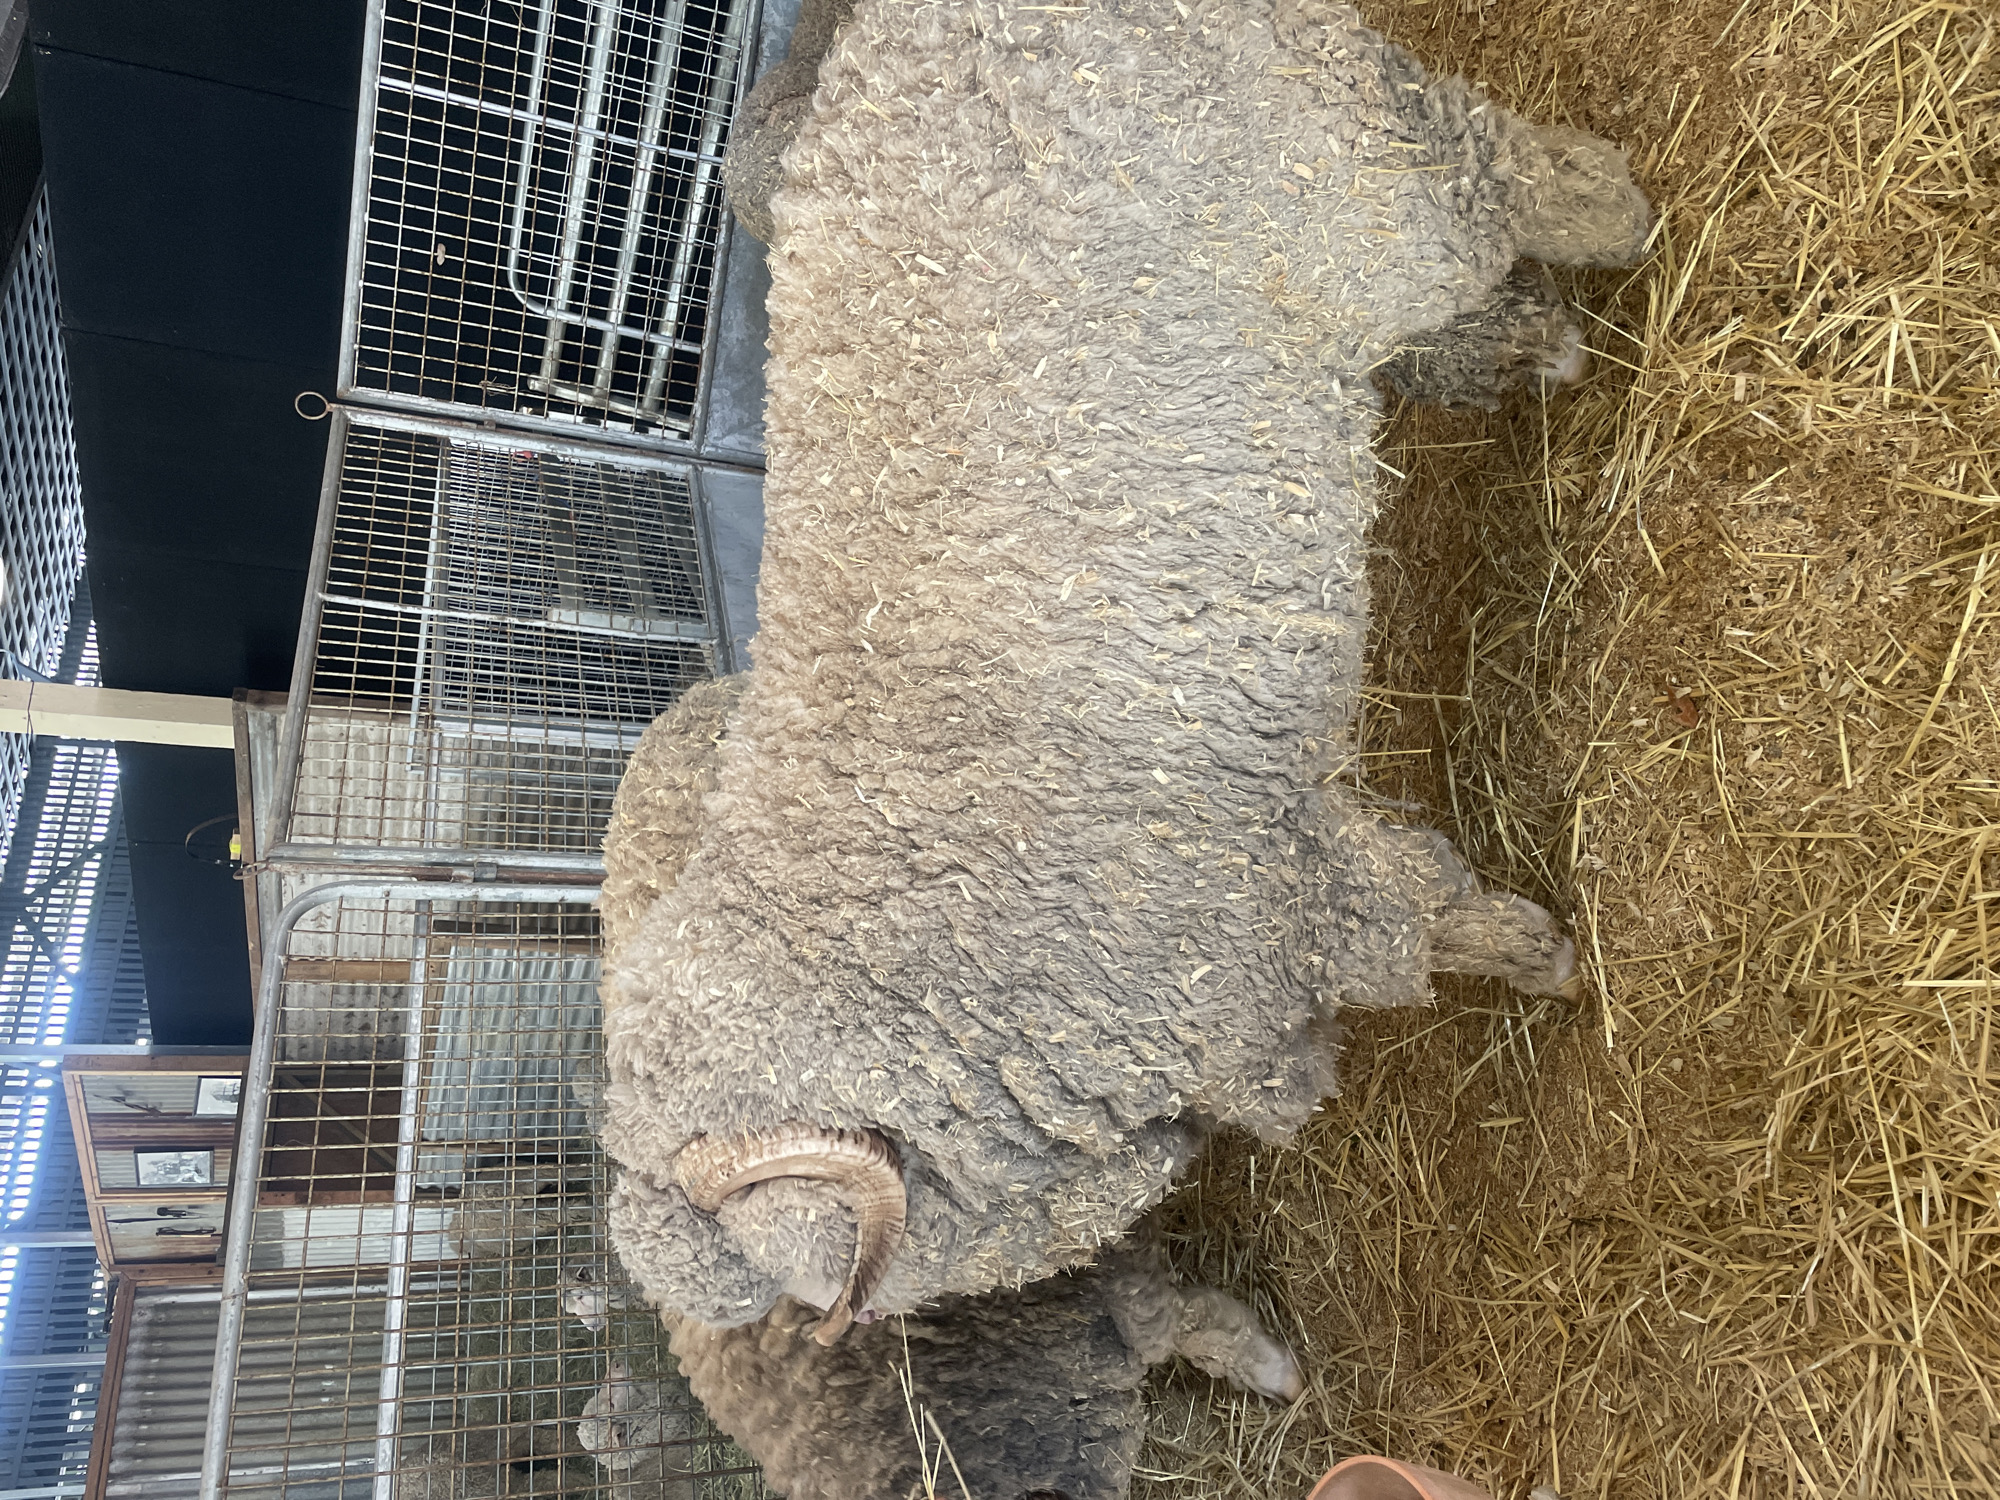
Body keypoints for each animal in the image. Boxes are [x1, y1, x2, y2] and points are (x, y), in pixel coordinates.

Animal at [597, 0, 1651, 1341]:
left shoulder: (1276, 894)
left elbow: (1431, 920)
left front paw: (1547, 964)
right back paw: (1529, 344)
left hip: (1361, 177)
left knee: (1507, 174)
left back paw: (1621, 221)